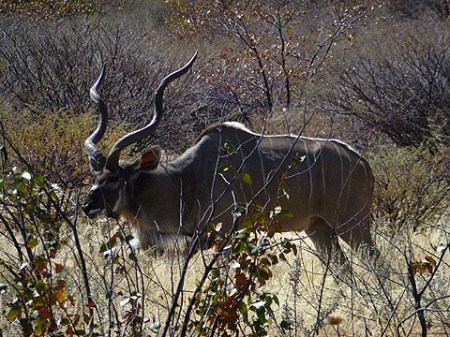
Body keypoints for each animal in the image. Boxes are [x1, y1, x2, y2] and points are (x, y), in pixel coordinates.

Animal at [82, 51, 378, 266]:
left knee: (374, 261)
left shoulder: (223, 234)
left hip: (351, 223)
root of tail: (362, 162)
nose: (88, 206)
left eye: (114, 178)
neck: (186, 179)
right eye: (95, 176)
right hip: (318, 228)